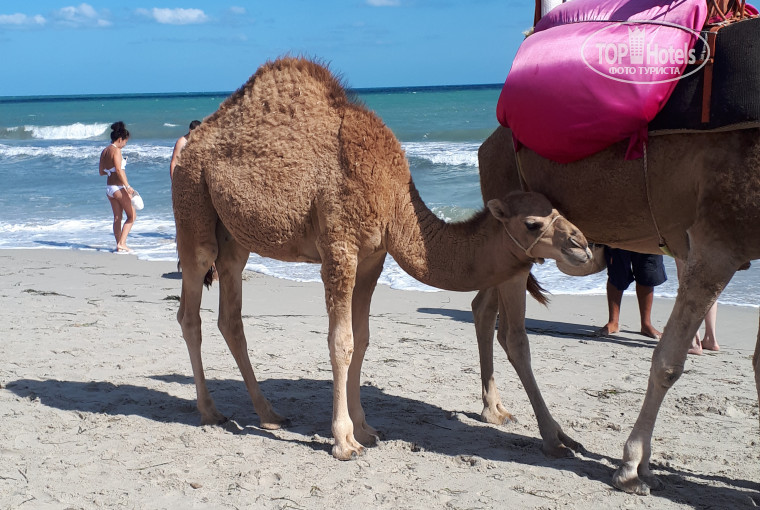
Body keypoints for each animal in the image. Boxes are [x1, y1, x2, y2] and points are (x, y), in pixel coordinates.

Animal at [171, 57, 593, 461]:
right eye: (533, 223)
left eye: (558, 208)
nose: (582, 245)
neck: (393, 197)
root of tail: (191, 139)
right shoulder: (340, 248)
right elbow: (340, 341)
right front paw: (344, 441)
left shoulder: (372, 257)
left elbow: (362, 339)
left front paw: (364, 429)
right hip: (192, 201)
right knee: (191, 308)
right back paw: (210, 411)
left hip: (233, 235)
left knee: (230, 313)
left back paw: (269, 414)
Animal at [472, 124, 760, 494]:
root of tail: (486, 146)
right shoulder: (718, 241)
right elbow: (668, 364)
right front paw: (633, 468)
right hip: (513, 238)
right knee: (512, 335)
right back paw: (553, 438)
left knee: (483, 309)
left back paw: (495, 410)